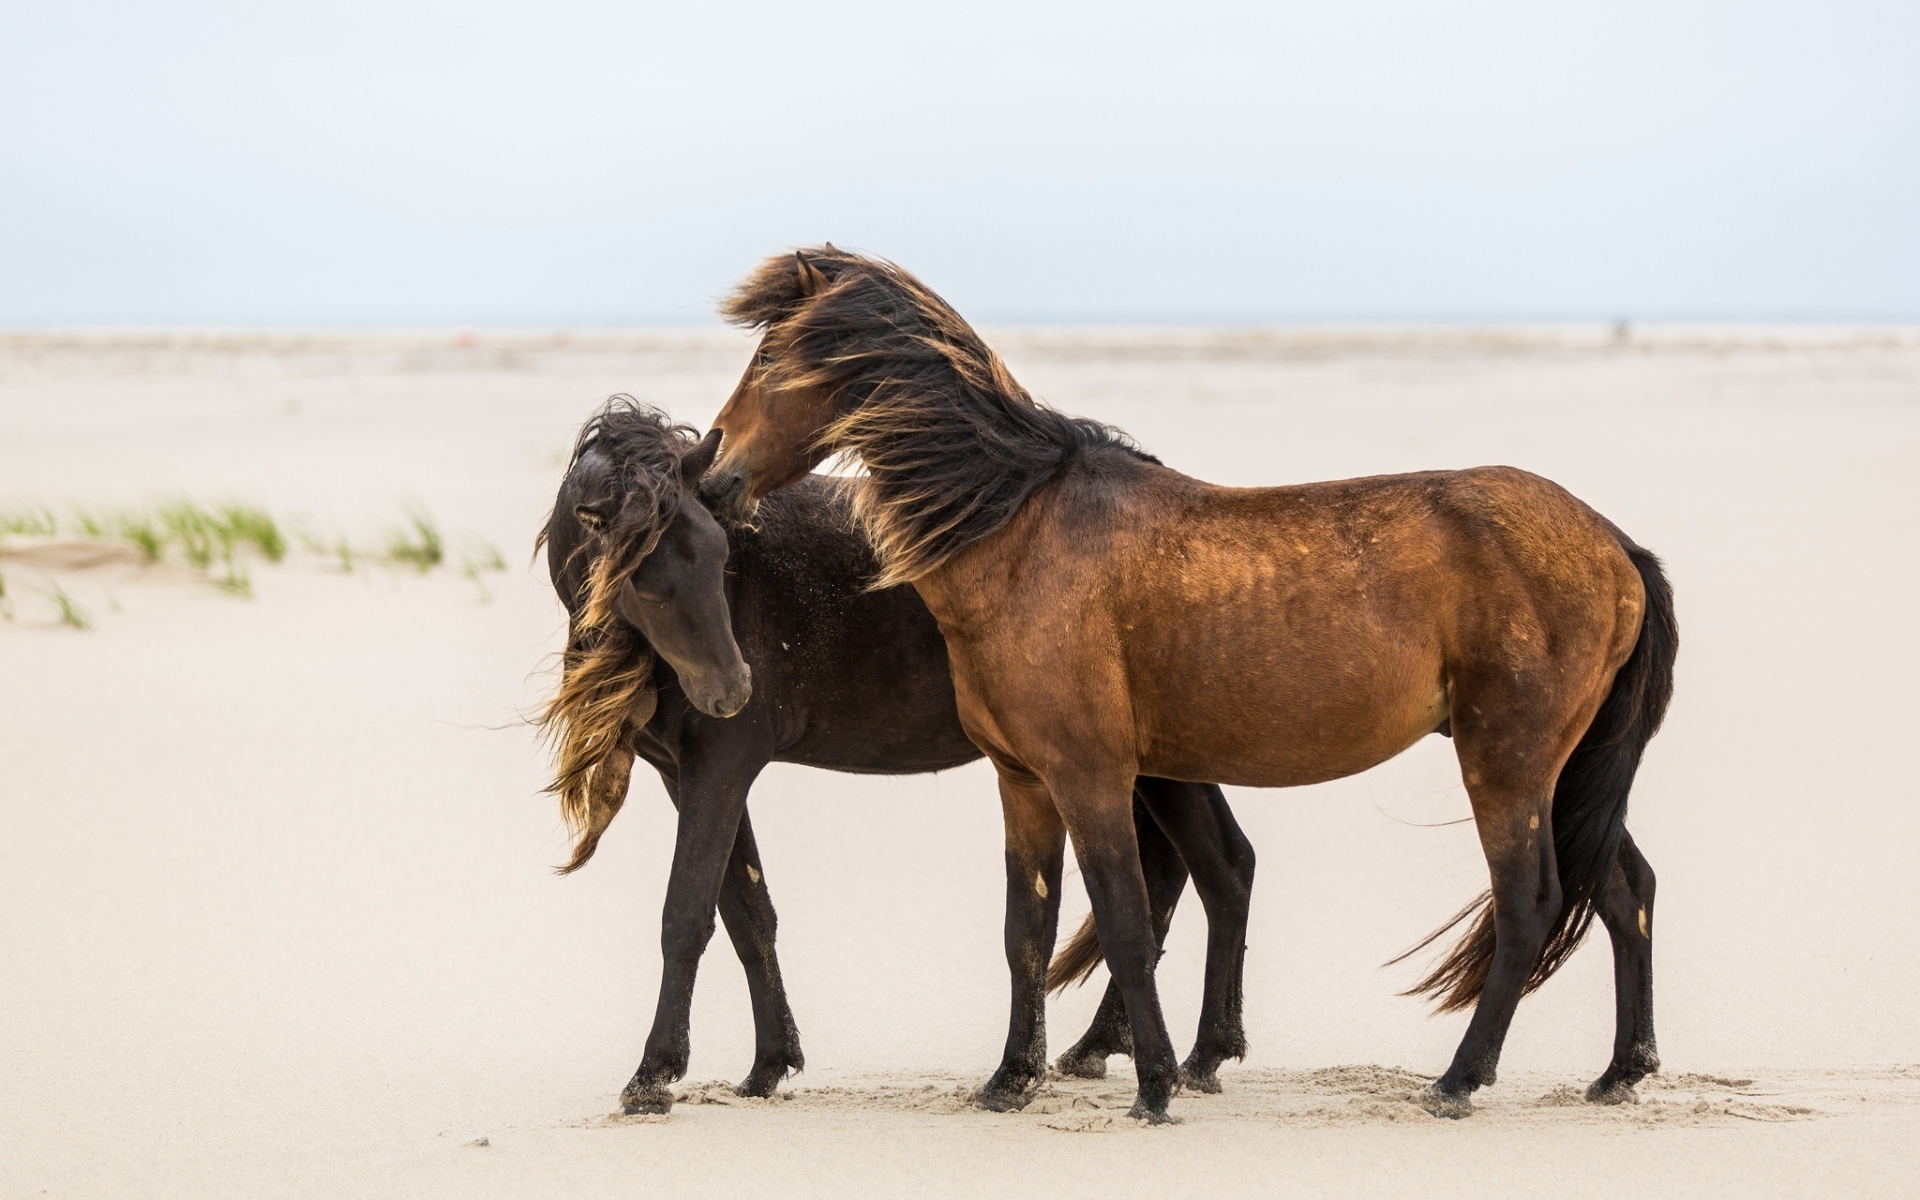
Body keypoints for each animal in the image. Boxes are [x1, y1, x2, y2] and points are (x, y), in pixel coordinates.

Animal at [537, 398, 1260, 1114]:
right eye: (645, 581)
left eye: (720, 558)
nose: (731, 690)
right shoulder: (685, 774)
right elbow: (747, 913)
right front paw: (769, 1064)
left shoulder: (722, 766)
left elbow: (686, 915)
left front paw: (652, 1076)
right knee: (1208, 867)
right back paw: (1134, 1049)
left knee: (1210, 869)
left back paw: (1184, 1054)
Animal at [697, 247, 1678, 1124]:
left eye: (770, 360)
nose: (711, 473)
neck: (1020, 531)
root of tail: (1615, 544)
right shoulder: (1023, 783)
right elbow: (1027, 933)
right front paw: (1010, 1080)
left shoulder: (1090, 779)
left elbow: (1126, 923)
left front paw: (1155, 1086)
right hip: (1566, 774)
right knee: (1622, 890)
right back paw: (1619, 1073)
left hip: (1506, 766)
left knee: (1532, 903)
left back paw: (1458, 1082)